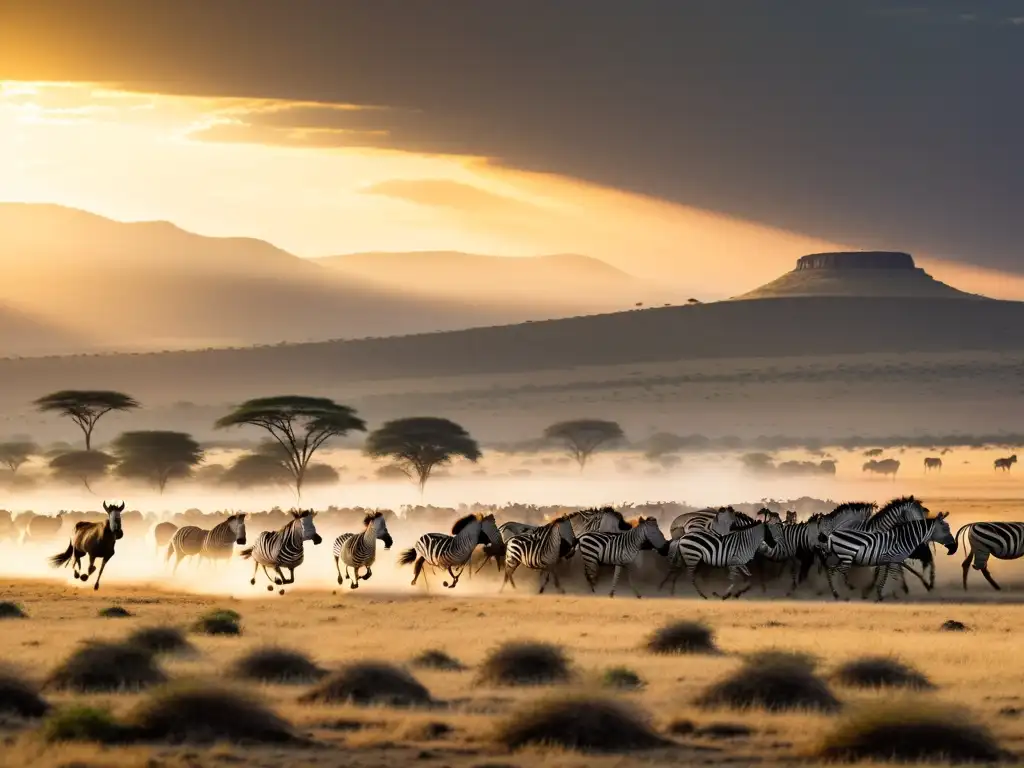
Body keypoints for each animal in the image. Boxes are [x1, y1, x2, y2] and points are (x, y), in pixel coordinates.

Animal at [819, 514, 954, 606]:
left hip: (839, 557)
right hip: (846, 556)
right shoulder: (894, 560)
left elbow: (885, 577)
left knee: (831, 571)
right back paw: (844, 592)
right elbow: (893, 576)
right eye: (946, 529)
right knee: (838, 572)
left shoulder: (889, 561)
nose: (953, 547)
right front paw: (890, 594)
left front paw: (880, 594)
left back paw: (836, 593)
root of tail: (831, 535)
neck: (903, 539)